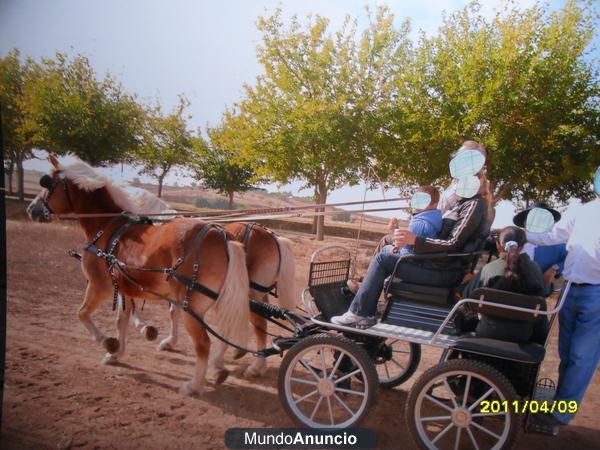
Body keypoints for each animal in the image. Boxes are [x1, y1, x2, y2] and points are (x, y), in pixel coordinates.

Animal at [31, 156, 248, 396]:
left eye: (47, 183)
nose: (32, 209)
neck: (106, 229)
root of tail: (221, 235)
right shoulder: (123, 288)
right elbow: (121, 321)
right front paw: (116, 353)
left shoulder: (99, 286)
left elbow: (82, 314)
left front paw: (108, 343)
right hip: (213, 303)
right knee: (223, 333)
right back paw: (218, 368)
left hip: (191, 307)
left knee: (203, 344)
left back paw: (194, 385)